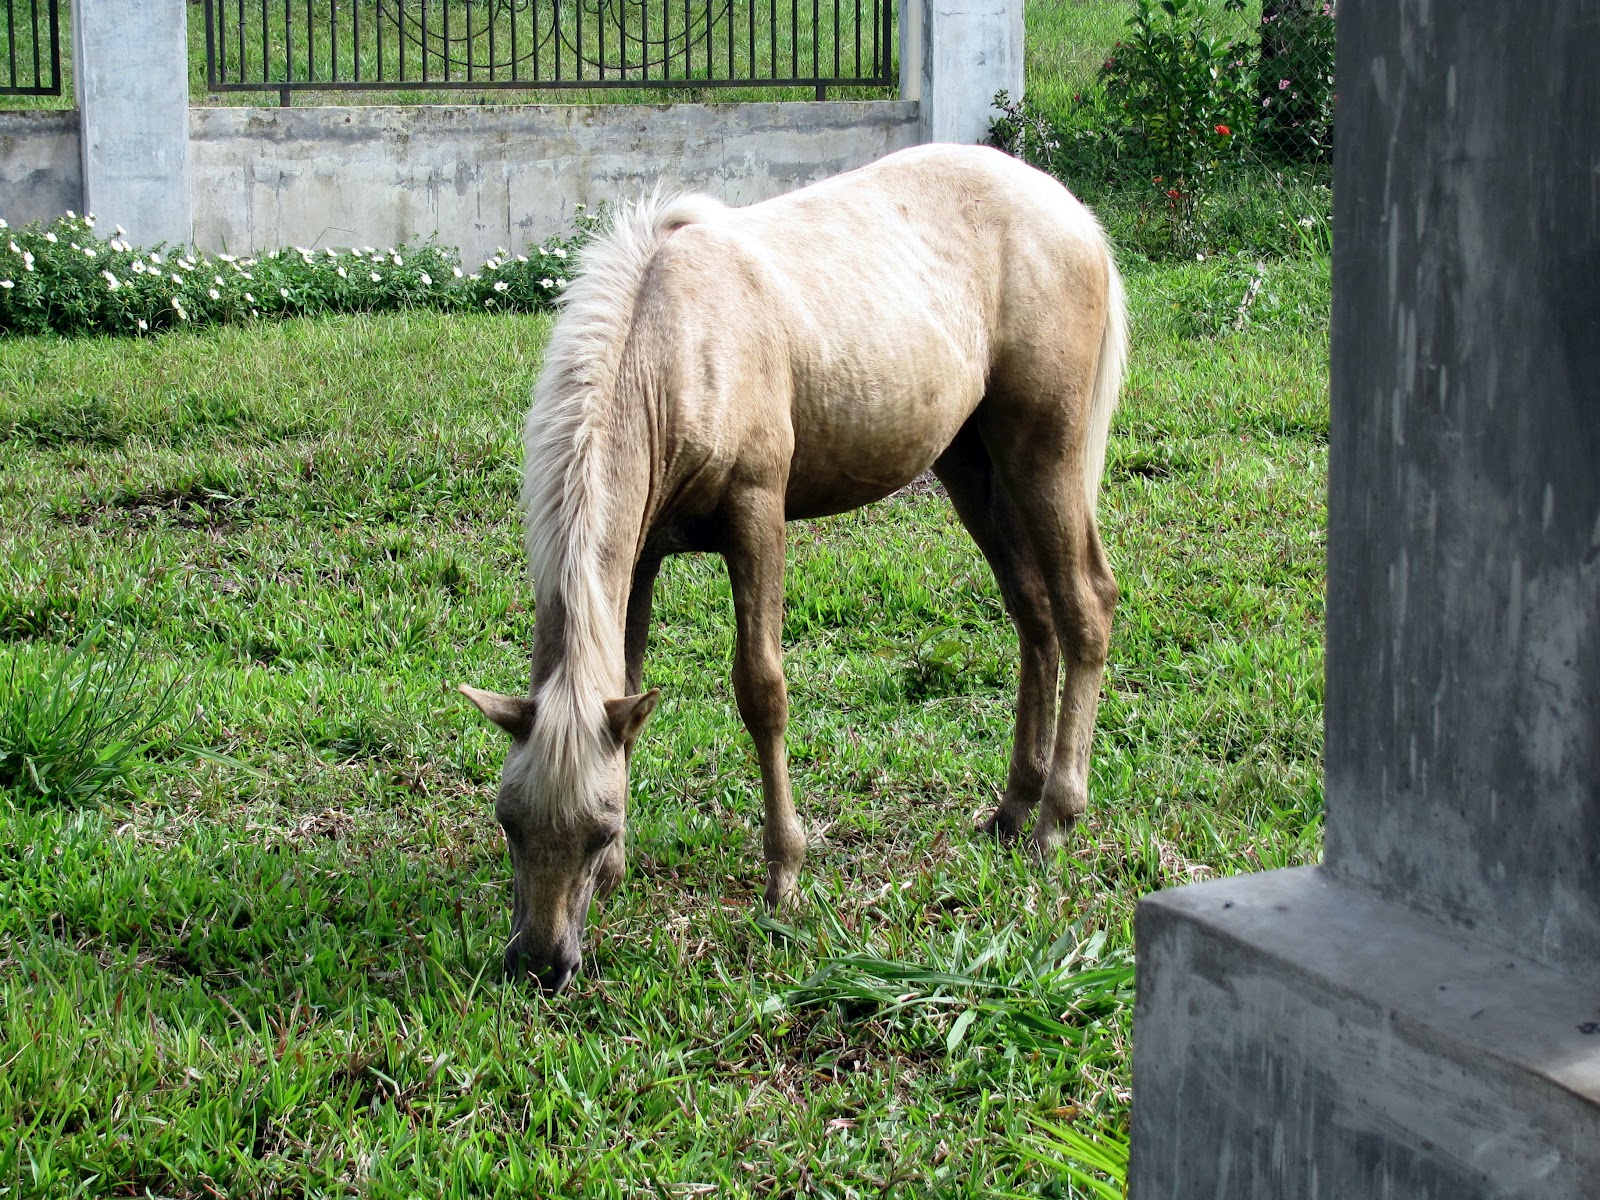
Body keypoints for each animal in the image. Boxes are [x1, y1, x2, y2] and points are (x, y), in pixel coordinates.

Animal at [460, 143, 1127, 991]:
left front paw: (783, 877)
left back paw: (1054, 822)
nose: (540, 966)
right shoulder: (639, 556)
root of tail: (1069, 210)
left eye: (595, 826)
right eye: (509, 822)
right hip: (973, 464)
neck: (675, 341)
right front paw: (618, 878)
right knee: (1033, 614)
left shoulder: (757, 519)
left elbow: (761, 691)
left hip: (1045, 455)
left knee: (1085, 606)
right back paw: (1012, 808)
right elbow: (628, 678)